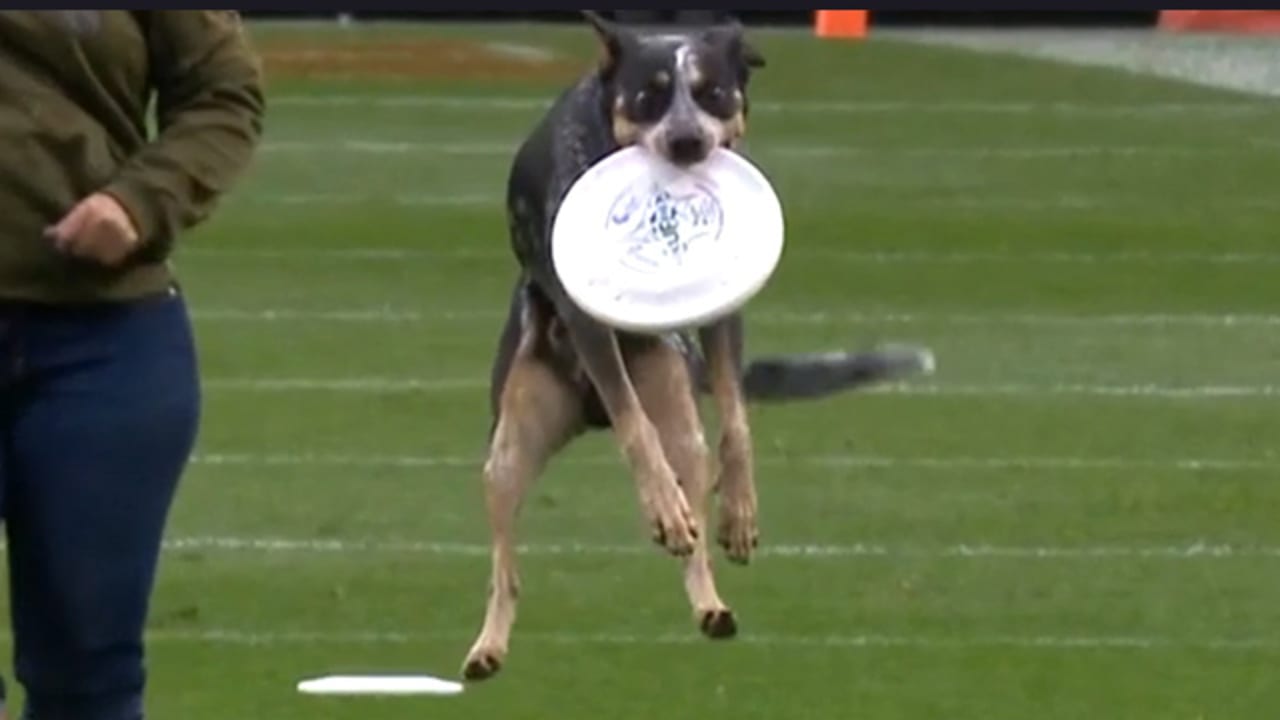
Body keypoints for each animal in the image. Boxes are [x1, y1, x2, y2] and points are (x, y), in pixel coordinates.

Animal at [460, 12, 931, 676]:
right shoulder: (583, 316)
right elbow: (636, 430)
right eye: (648, 96)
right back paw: (488, 647)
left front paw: (738, 509)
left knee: (694, 515)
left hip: (675, 400)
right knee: (507, 566)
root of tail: (585, 413)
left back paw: (710, 604)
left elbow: (735, 421)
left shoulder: (724, 313)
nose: (687, 143)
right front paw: (662, 505)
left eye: (714, 93)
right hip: (511, 442)